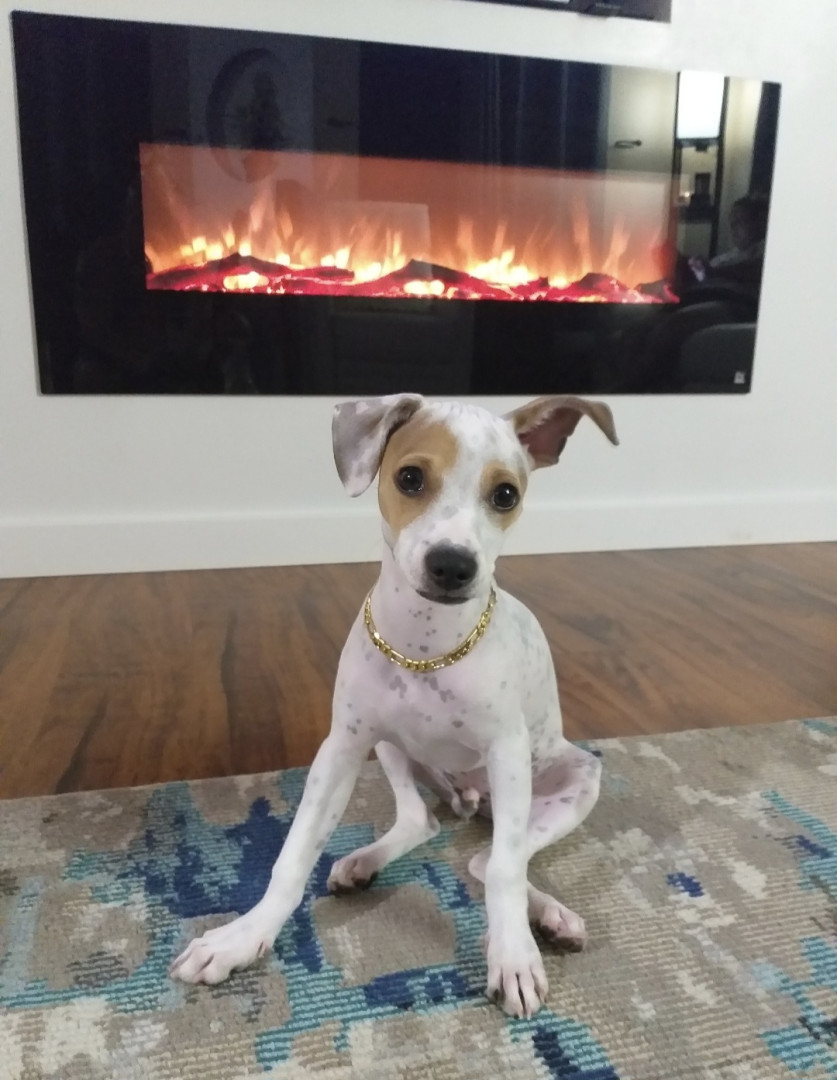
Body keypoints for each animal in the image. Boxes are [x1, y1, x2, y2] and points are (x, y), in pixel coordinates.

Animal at [171, 393, 618, 1017]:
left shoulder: (507, 753)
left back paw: (549, 918)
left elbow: (505, 869)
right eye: (409, 478)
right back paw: (365, 863)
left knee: (488, 859)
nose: (453, 565)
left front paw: (512, 955)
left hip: (573, 775)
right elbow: (291, 858)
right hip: (390, 748)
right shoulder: (341, 748)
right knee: (420, 820)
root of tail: (471, 797)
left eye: (505, 494)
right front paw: (243, 937)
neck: (428, 647)